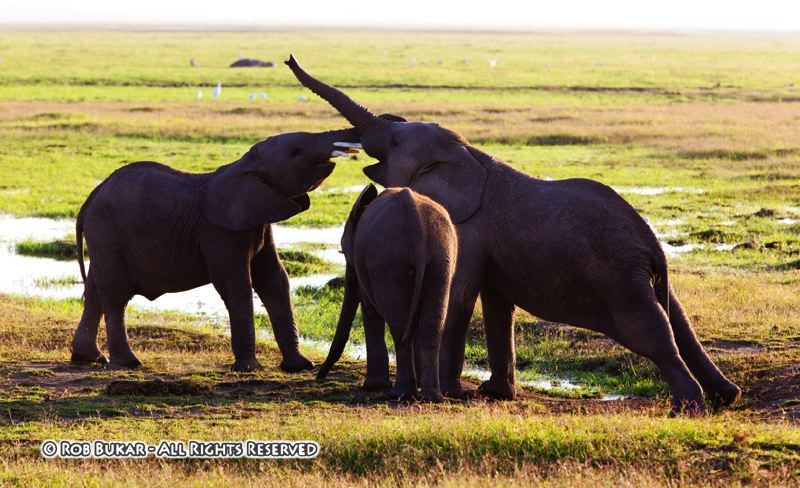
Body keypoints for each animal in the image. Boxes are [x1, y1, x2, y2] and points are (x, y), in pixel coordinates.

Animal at [71, 127, 360, 372]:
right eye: (296, 151)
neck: (245, 165)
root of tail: (87, 203)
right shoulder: (220, 231)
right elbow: (237, 285)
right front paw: (249, 368)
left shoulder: (258, 221)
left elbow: (275, 281)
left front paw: (300, 366)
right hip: (108, 233)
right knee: (115, 294)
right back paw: (128, 362)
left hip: (105, 238)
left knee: (95, 290)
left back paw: (89, 358)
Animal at [318, 183, 456, 400]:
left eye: (344, 251)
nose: (319, 376)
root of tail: (417, 227)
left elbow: (369, 310)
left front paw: (373, 386)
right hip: (441, 259)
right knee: (431, 325)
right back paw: (431, 397)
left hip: (388, 262)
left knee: (399, 325)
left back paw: (400, 394)